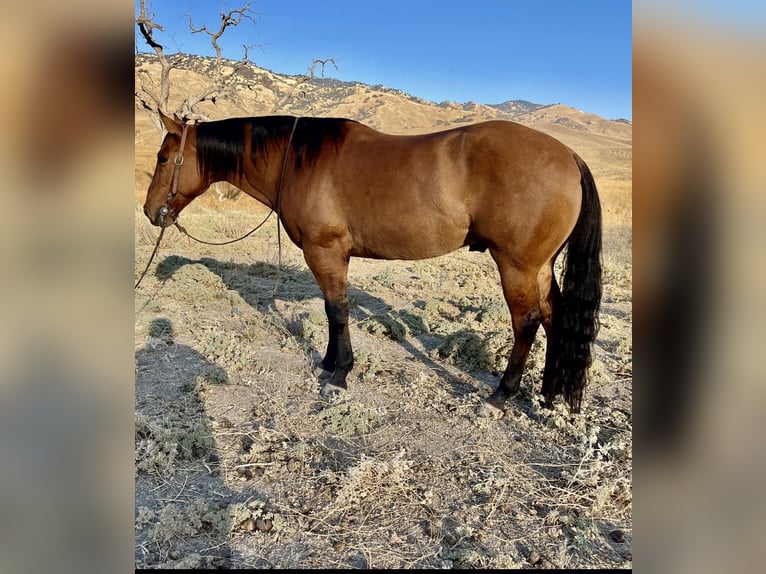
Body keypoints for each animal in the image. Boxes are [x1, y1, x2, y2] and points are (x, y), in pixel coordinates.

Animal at [141, 111, 604, 414]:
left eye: (163, 159)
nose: (150, 211)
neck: (299, 159)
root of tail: (570, 156)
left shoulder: (325, 252)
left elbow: (337, 310)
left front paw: (340, 372)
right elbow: (332, 311)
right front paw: (329, 363)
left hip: (517, 265)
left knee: (526, 322)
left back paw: (502, 395)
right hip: (540, 267)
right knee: (554, 317)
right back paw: (549, 395)